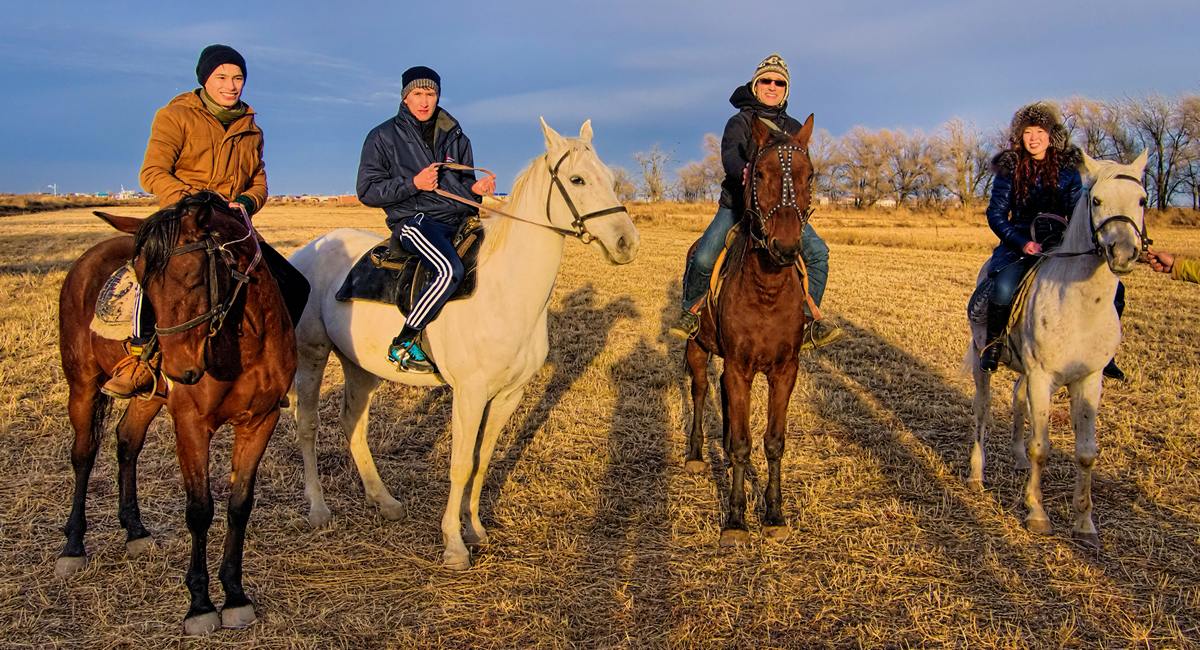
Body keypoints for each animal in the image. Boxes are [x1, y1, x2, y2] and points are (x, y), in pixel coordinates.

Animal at [57, 191, 296, 638]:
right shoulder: (190, 424)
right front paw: (200, 605)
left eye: (196, 276)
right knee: (83, 455)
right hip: (82, 386)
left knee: (127, 442)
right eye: (144, 283)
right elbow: (200, 510)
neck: (241, 340)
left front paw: (235, 596)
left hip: (148, 397)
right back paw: (73, 546)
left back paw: (134, 530)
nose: (181, 369)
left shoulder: (260, 420)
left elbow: (239, 505)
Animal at [289, 119, 643, 568]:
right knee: (308, 425)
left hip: (361, 366)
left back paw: (384, 501)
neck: (505, 291)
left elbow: (481, 460)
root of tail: (309, 251)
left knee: (353, 424)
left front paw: (474, 528)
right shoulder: (469, 394)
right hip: (312, 356)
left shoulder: (509, 395)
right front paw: (454, 546)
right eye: (577, 179)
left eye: (611, 180)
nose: (626, 243)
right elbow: (459, 464)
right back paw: (318, 509)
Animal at [686, 114, 816, 546]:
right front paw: (736, 519)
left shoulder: (783, 371)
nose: (786, 247)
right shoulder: (740, 369)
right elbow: (743, 445)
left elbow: (773, 442)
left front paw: (774, 514)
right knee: (700, 391)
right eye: (758, 173)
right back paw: (696, 456)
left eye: (810, 175)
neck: (766, 291)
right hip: (698, 350)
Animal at [964, 150, 1152, 546]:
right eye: (1096, 200)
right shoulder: (1042, 376)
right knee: (982, 411)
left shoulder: (1089, 379)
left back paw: (1018, 458)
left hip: (1024, 371)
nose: (1123, 253)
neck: (1080, 303)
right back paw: (976, 474)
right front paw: (1037, 513)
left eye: (1142, 200)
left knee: (1017, 400)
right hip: (982, 360)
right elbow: (1043, 446)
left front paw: (1084, 523)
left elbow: (1085, 453)